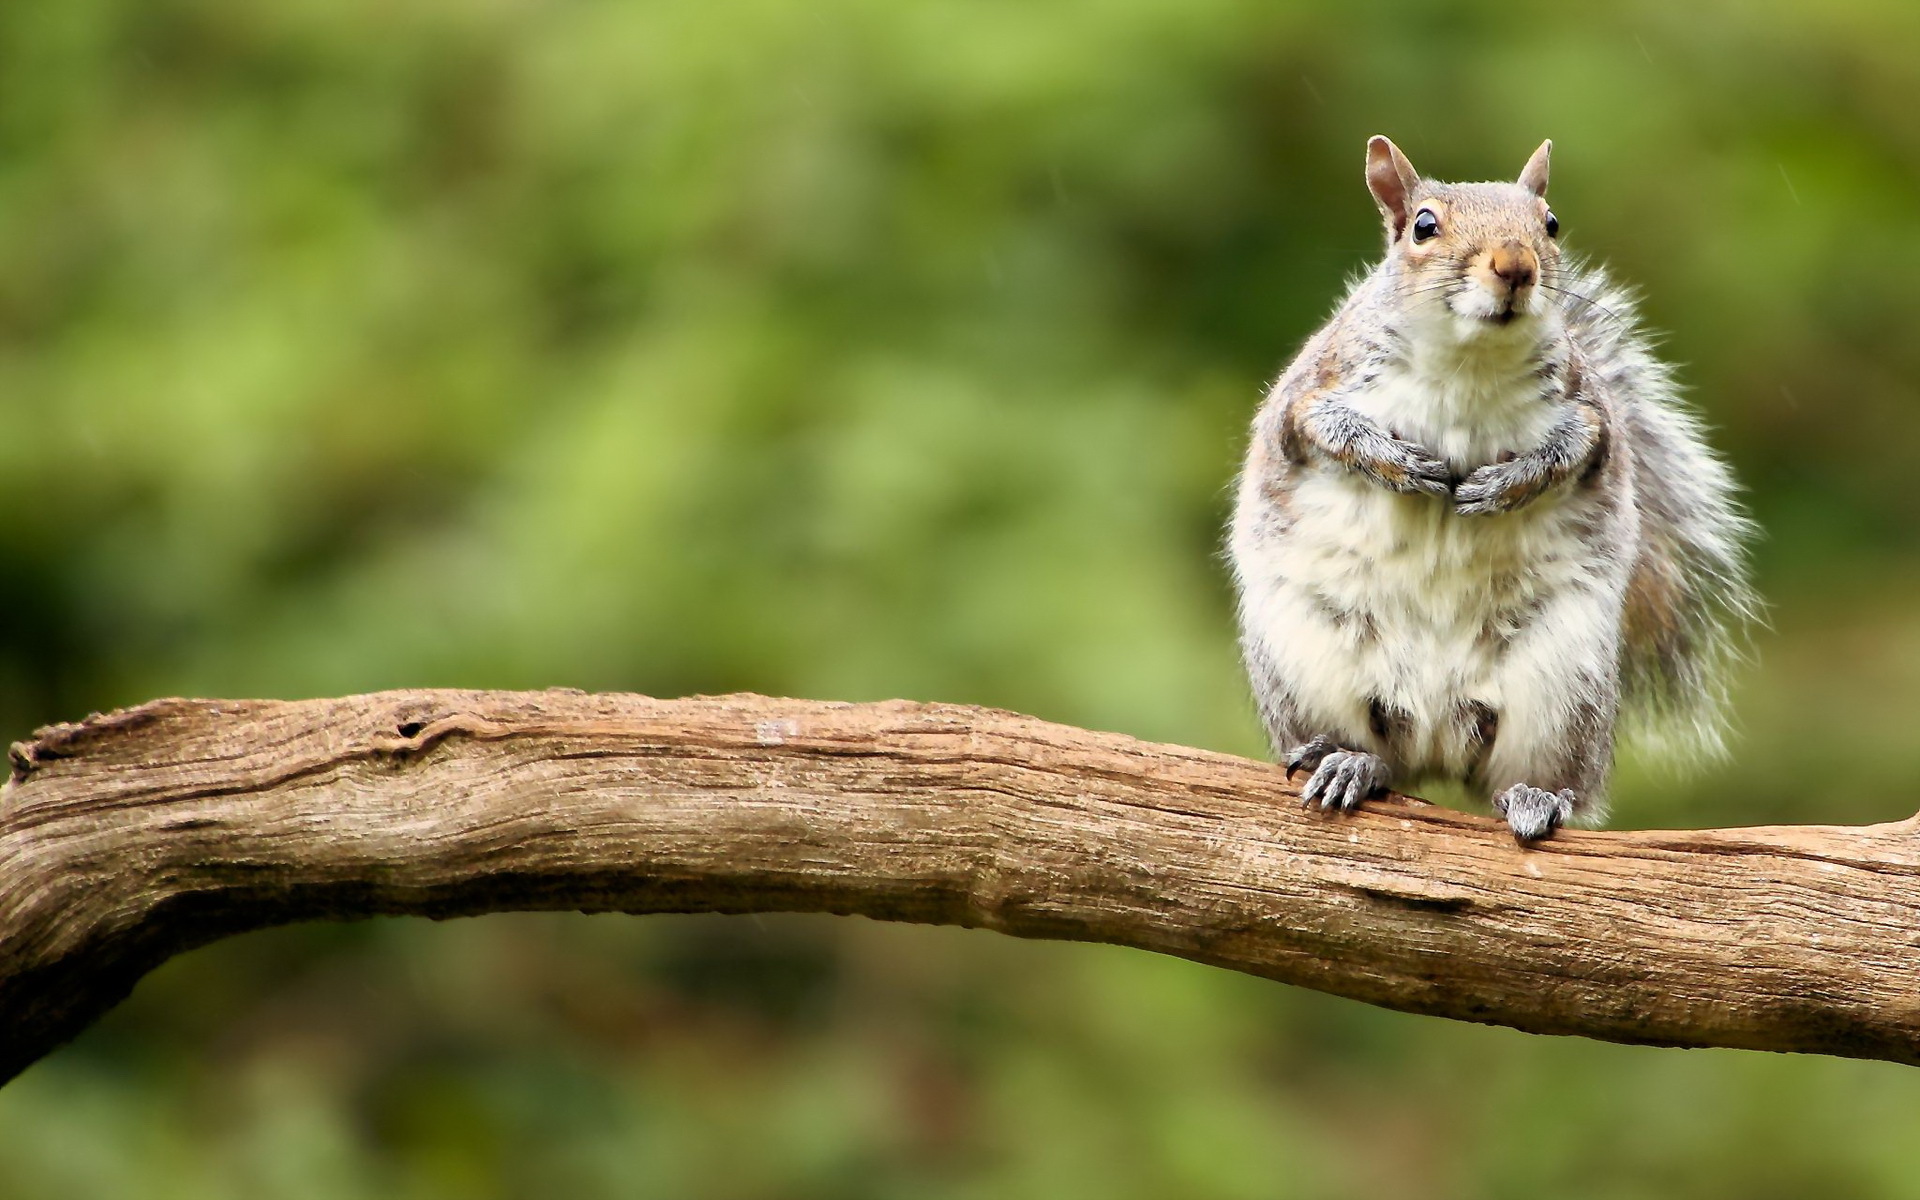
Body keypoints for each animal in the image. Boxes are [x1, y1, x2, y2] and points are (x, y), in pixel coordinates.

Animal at [1228, 135, 1758, 837]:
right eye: (1423, 226)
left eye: (1551, 222)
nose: (1515, 265)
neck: (1469, 361)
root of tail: (1434, 737)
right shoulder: (1314, 389)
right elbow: (1324, 429)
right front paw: (1401, 465)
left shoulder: (1591, 414)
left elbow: (1574, 451)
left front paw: (1503, 485)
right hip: (1305, 663)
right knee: (1368, 754)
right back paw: (1347, 763)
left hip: (1563, 687)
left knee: (1539, 777)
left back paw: (1537, 798)